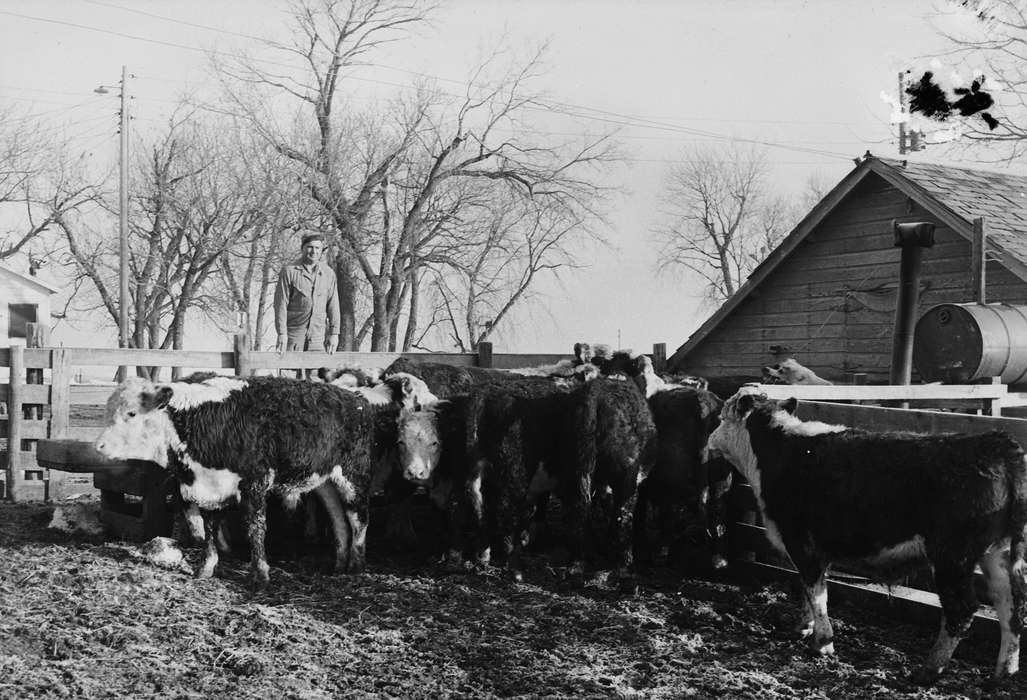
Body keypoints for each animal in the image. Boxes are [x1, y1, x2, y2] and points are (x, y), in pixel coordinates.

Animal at [94, 374, 374, 590]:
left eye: (131, 413)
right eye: (107, 411)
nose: (99, 446)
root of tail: (355, 399)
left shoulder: (255, 482)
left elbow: (255, 529)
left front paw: (260, 575)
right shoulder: (210, 488)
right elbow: (209, 528)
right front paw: (206, 568)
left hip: (354, 477)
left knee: (358, 518)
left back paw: (356, 564)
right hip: (324, 479)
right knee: (338, 517)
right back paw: (339, 563)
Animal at [706, 387, 1027, 684]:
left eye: (721, 417)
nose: (709, 442)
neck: (780, 452)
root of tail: (996, 443)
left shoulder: (802, 544)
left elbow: (816, 593)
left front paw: (822, 642)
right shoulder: (815, 550)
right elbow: (809, 591)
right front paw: (804, 627)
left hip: (953, 557)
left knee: (962, 609)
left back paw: (929, 670)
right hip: (997, 553)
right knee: (1009, 604)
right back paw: (1004, 671)